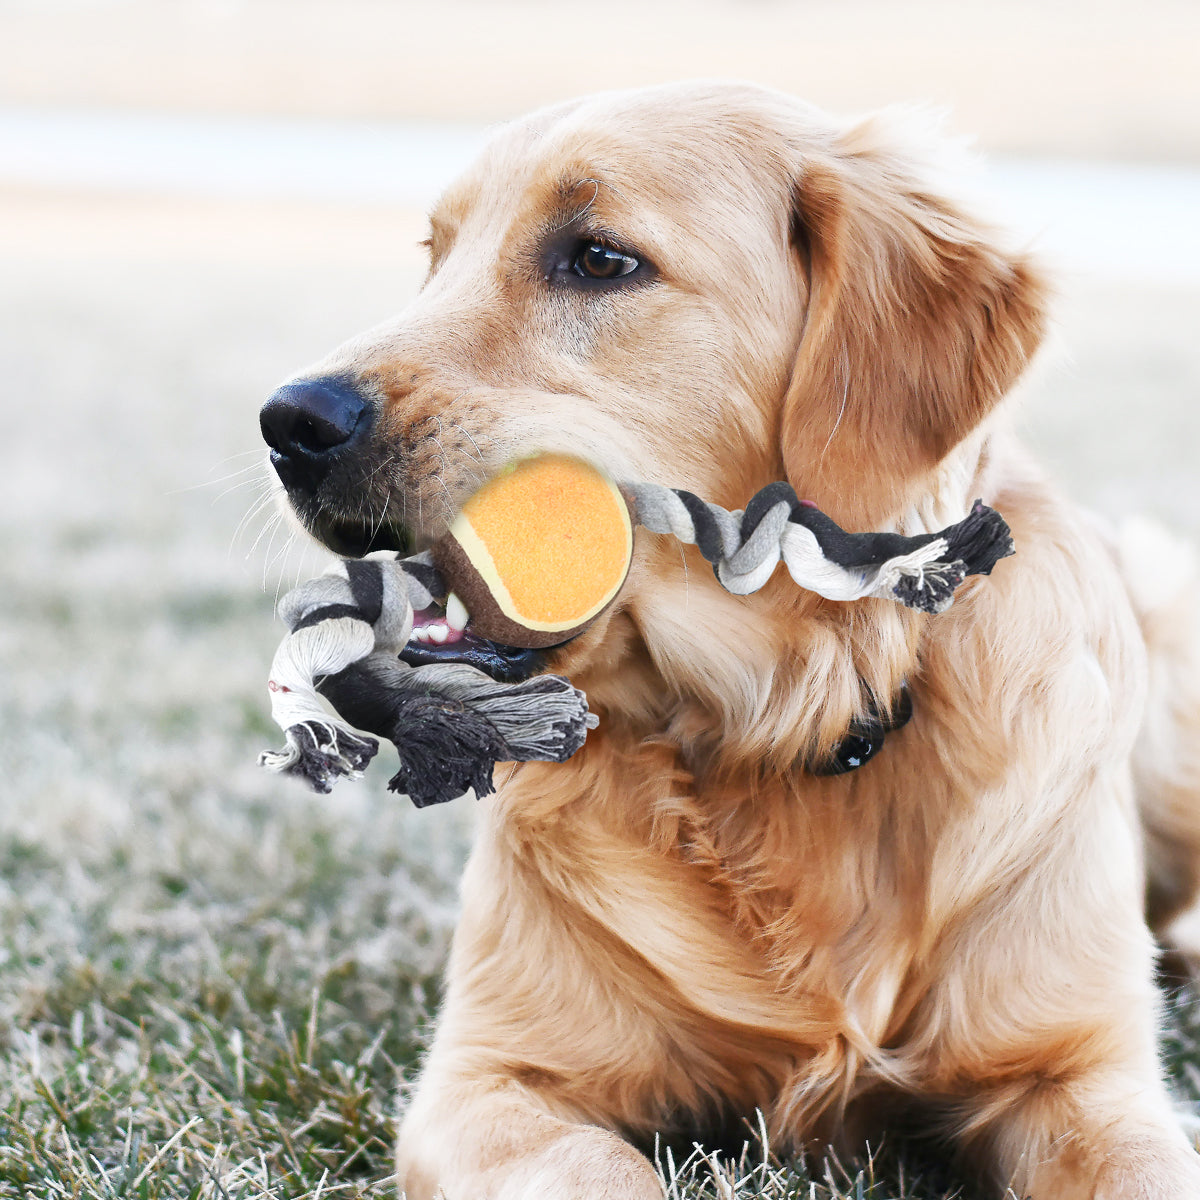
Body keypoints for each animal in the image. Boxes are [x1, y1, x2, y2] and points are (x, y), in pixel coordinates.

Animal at [258, 79, 1200, 1195]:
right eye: (435, 256)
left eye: (599, 258)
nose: (288, 422)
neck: (782, 729)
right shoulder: (489, 1079)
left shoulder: (1080, 1074)